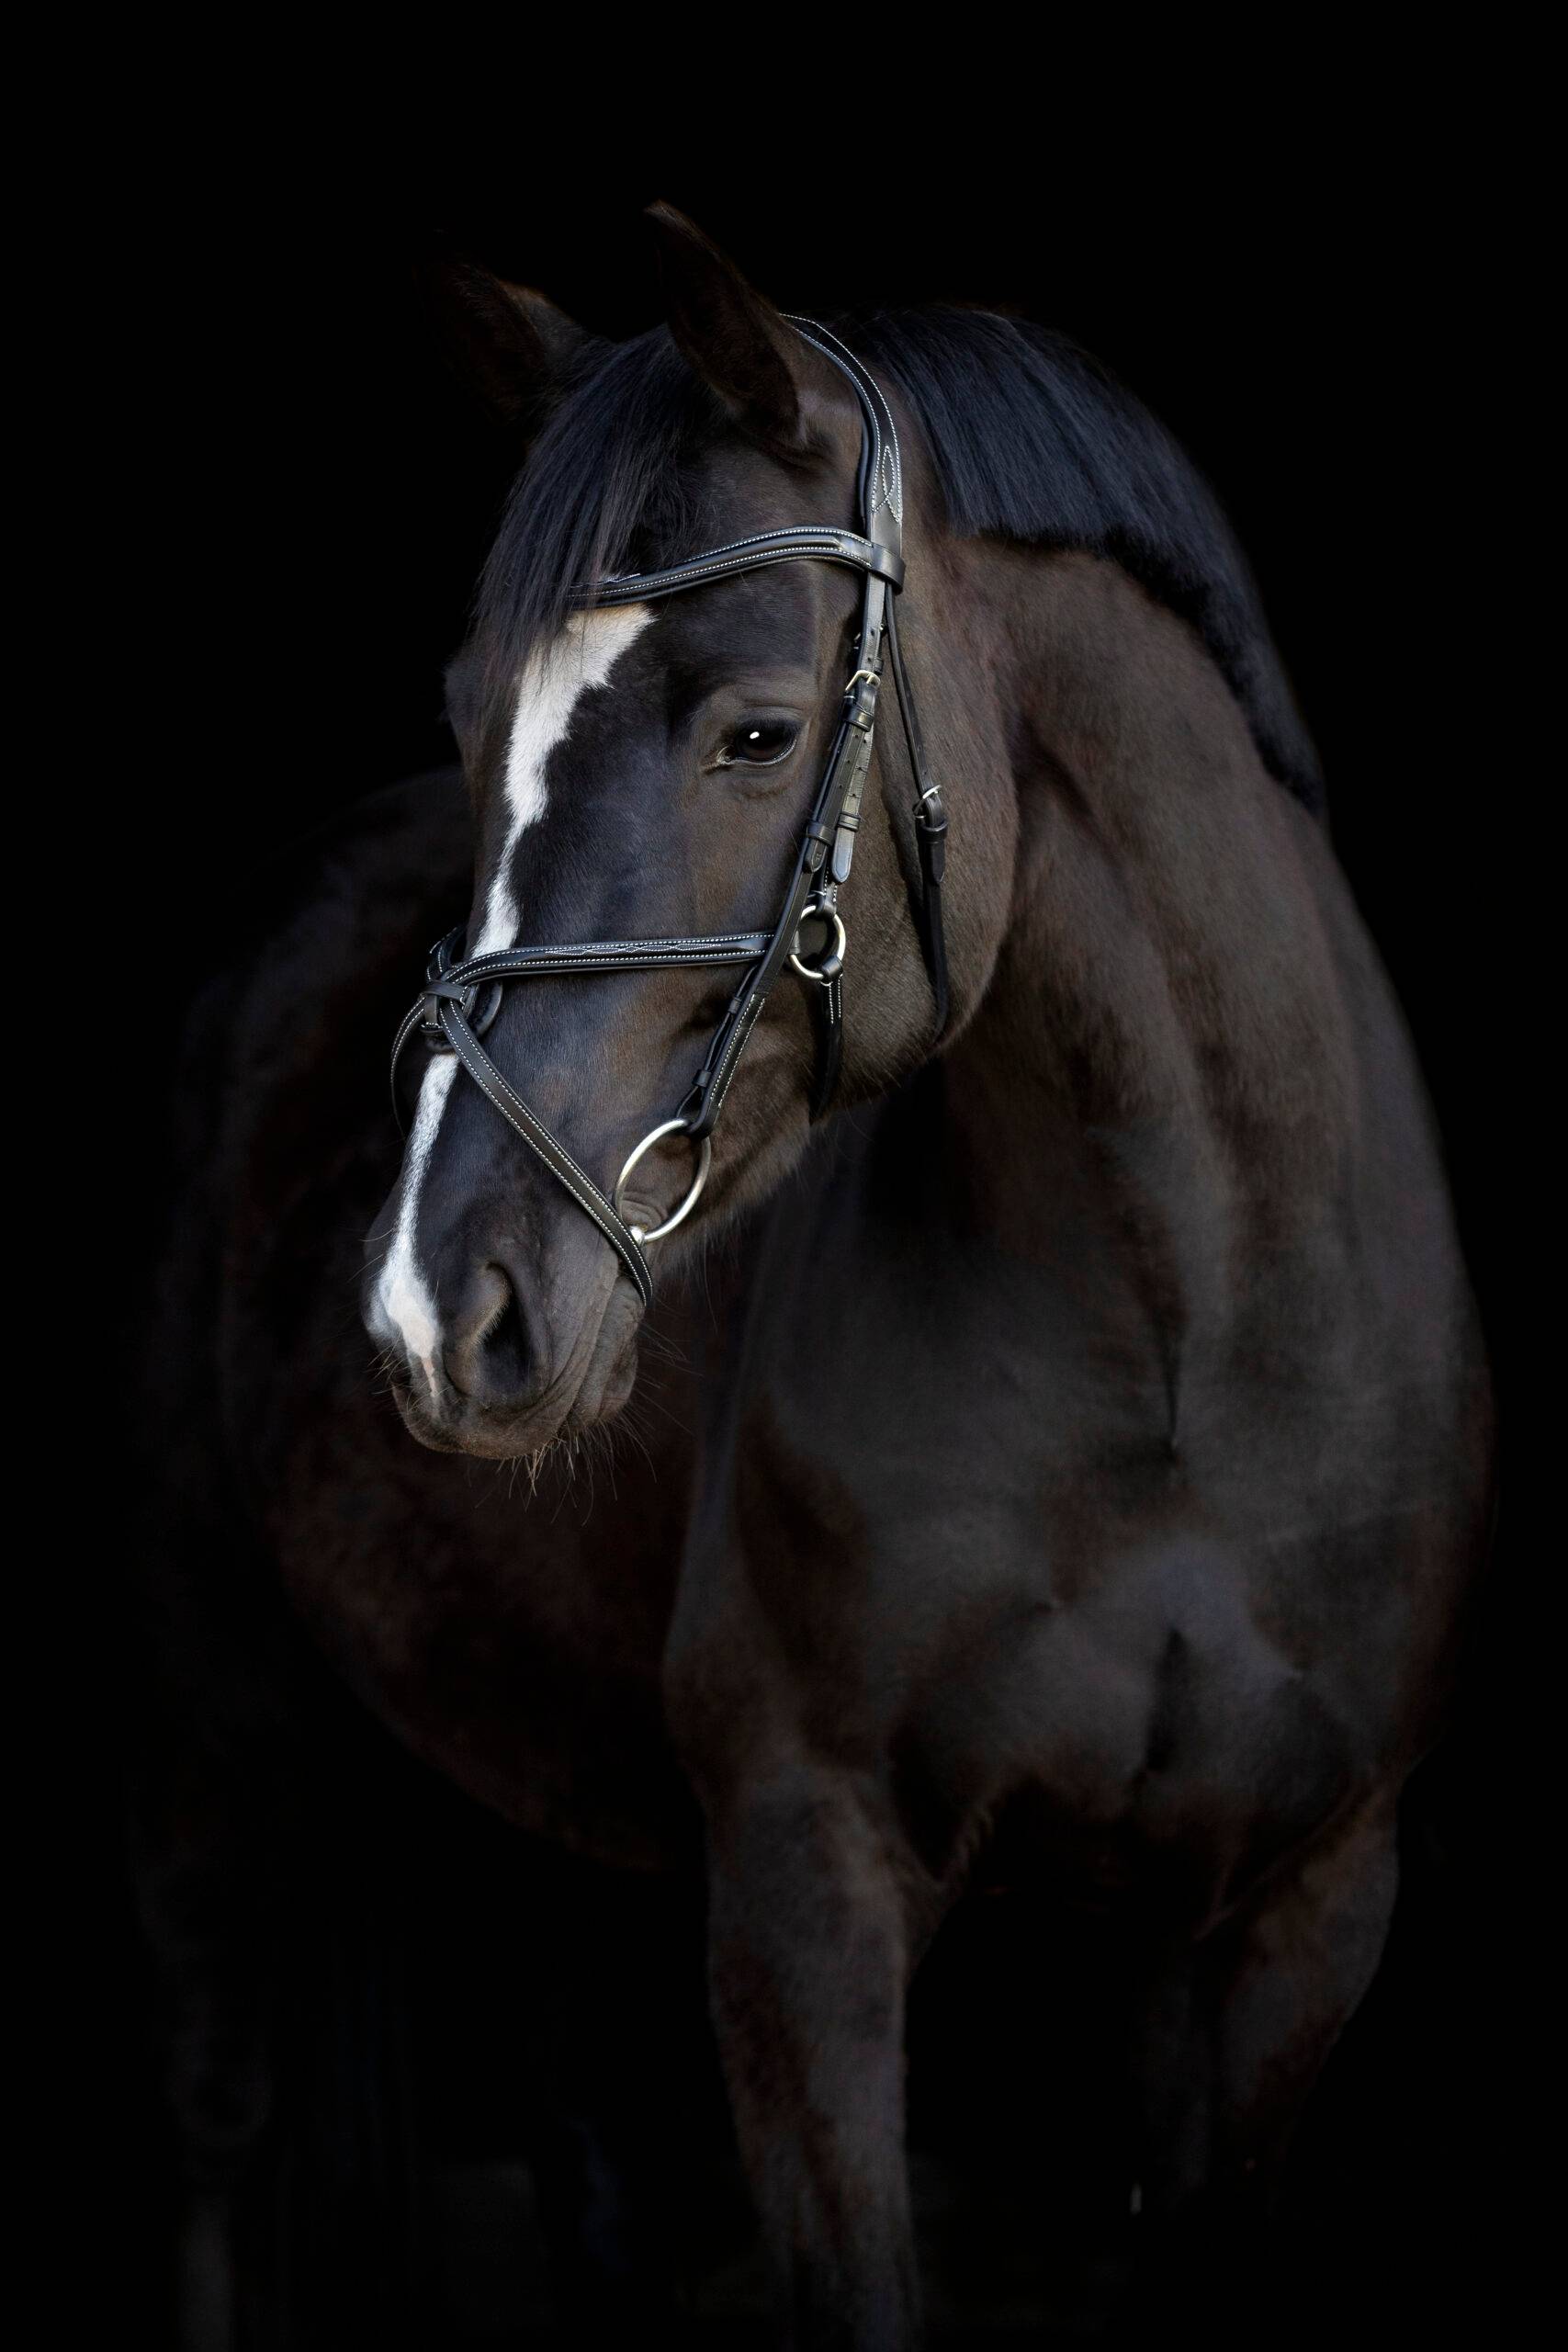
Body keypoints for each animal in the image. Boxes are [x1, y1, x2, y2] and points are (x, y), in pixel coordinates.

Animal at [138, 206, 1493, 2347]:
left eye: (756, 730)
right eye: (469, 720)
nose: (440, 1313)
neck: (1179, 1356)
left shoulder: (1295, 1914)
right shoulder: (805, 1890)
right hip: (221, 1717)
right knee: (214, 2107)